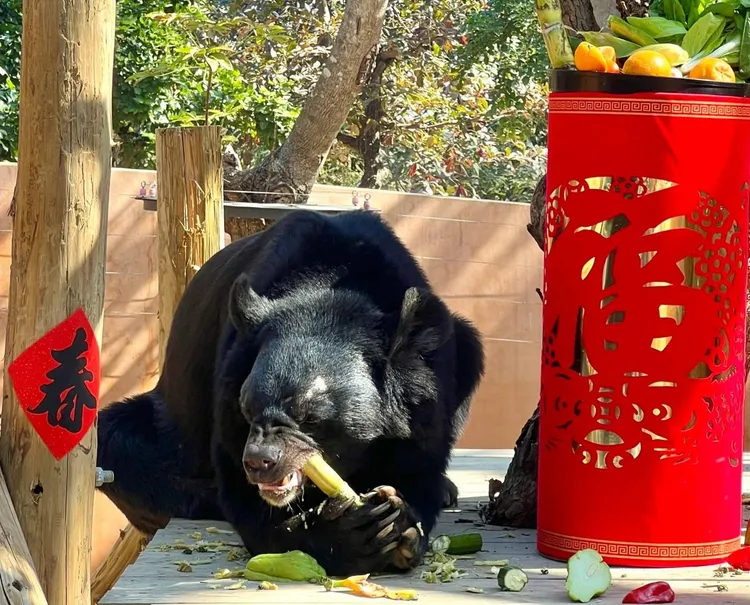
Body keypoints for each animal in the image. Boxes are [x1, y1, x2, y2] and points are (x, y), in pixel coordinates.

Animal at [97, 209, 485, 576]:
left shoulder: (425, 398)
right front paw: (352, 535)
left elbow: (420, 466)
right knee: (117, 444)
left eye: (310, 417)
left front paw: (402, 523)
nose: (259, 462)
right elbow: (242, 494)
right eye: (247, 407)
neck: (331, 290)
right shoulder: (228, 389)